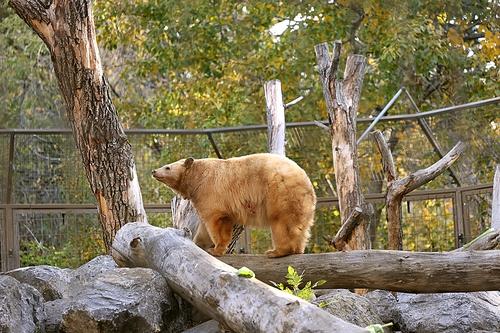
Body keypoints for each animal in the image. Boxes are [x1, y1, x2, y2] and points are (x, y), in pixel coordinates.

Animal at [152, 152, 316, 258]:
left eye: (167, 167)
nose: (154, 171)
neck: (197, 177)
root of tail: (305, 179)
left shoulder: (209, 190)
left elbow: (215, 221)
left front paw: (215, 249)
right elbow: (209, 226)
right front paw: (200, 244)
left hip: (279, 192)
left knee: (281, 223)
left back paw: (276, 252)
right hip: (301, 202)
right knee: (300, 227)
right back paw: (297, 249)